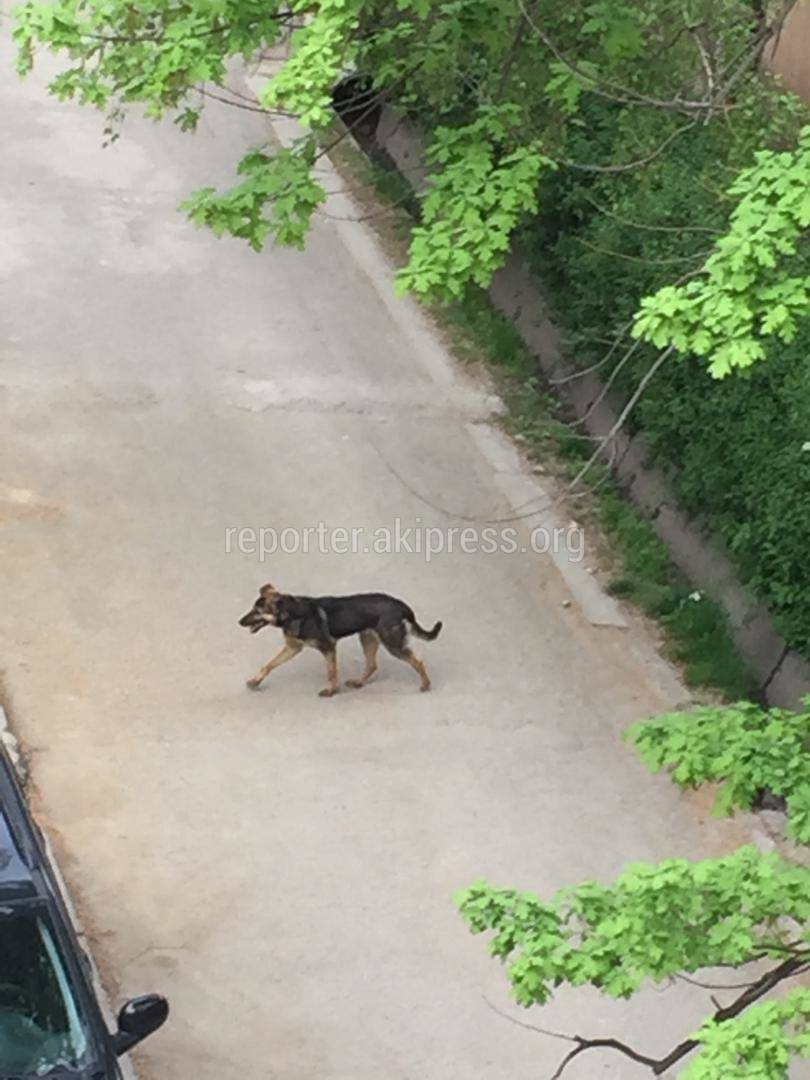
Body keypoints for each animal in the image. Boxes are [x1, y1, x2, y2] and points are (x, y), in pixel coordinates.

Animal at [239, 587, 444, 695]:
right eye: (252, 609)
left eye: (257, 612)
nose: (239, 622)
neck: (292, 612)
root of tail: (400, 604)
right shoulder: (293, 648)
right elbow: (269, 665)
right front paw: (256, 681)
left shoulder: (328, 647)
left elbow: (332, 672)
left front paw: (331, 691)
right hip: (368, 638)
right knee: (372, 665)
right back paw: (358, 683)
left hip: (393, 643)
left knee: (418, 662)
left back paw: (426, 685)